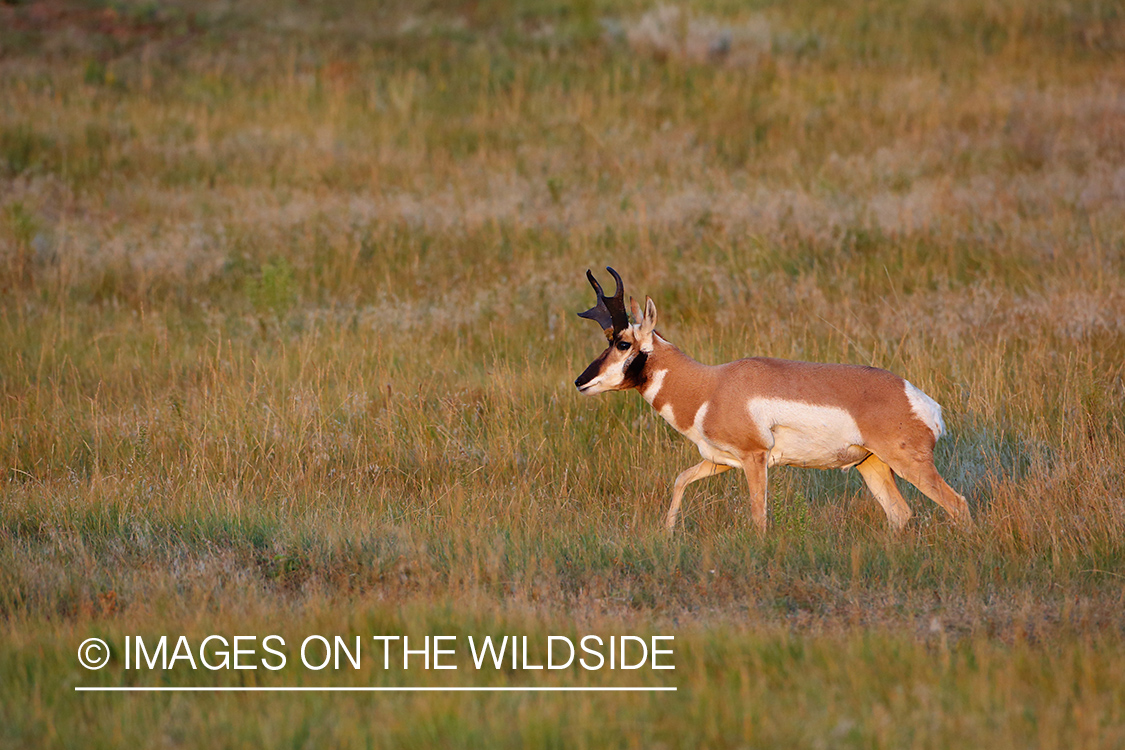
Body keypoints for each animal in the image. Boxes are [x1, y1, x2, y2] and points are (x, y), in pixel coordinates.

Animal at [576, 266, 972, 530]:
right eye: (608, 339)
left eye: (622, 343)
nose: (581, 381)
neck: (710, 386)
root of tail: (920, 400)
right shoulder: (719, 460)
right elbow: (681, 479)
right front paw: (668, 531)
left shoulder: (755, 459)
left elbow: (758, 516)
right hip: (872, 466)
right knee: (900, 514)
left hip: (909, 464)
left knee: (957, 504)